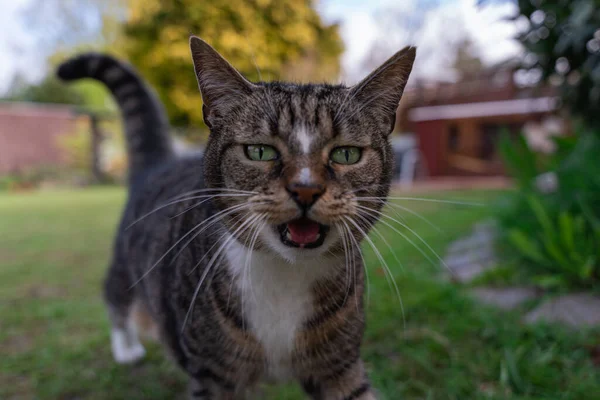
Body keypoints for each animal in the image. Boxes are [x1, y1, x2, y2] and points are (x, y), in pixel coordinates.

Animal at [57, 37, 412, 400]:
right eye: (259, 151)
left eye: (347, 154)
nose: (306, 189)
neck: (286, 273)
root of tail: (161, 164)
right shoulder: (214, 375)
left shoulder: (339, 366)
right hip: (123, 263)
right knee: (116, 297)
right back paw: (127, 347)